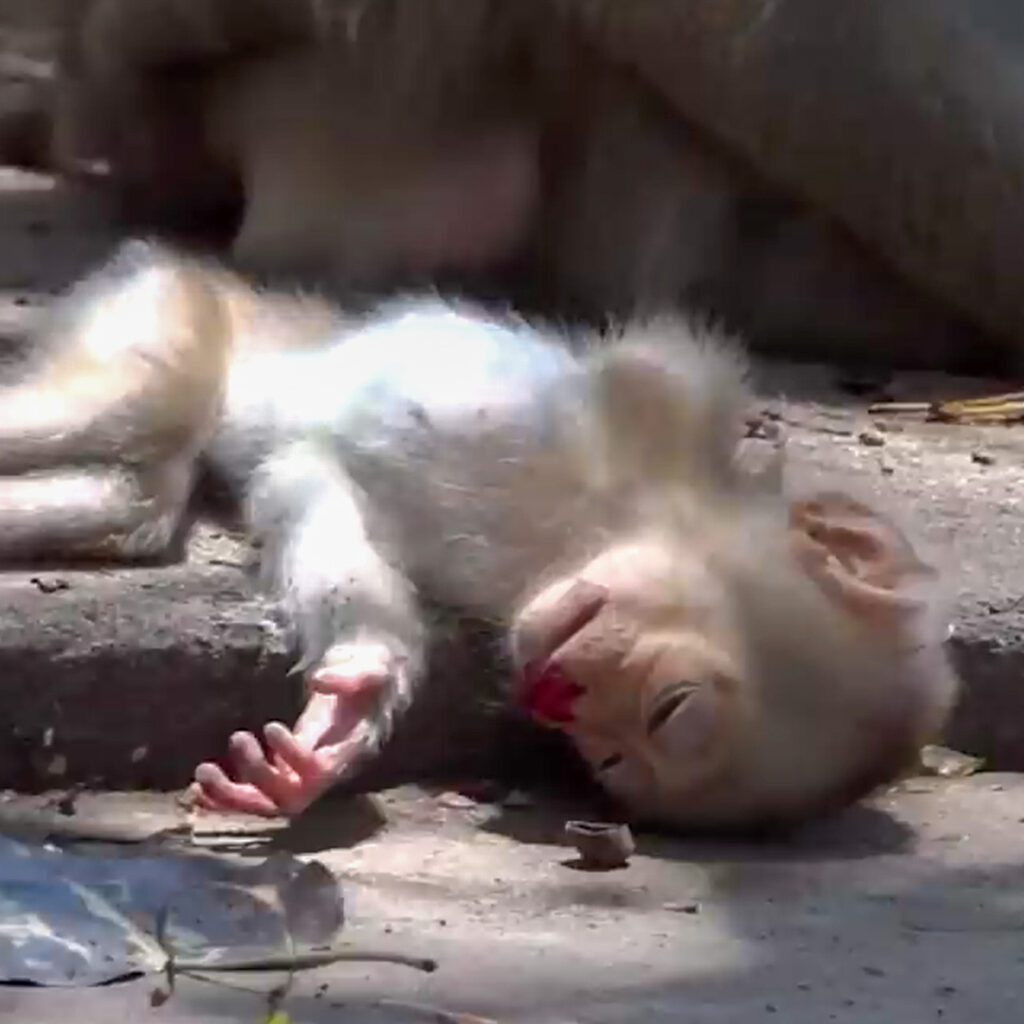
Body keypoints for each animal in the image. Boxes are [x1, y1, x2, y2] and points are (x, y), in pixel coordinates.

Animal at [0, 238, 961, 832]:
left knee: (138, 492)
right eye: (674, 705)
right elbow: (650, 376)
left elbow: (313, 493)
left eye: (616, 757)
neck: (581, 534)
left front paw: (340, 722)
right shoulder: (651, 415)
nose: (553, 695)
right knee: (132, 402)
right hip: (162, 299)